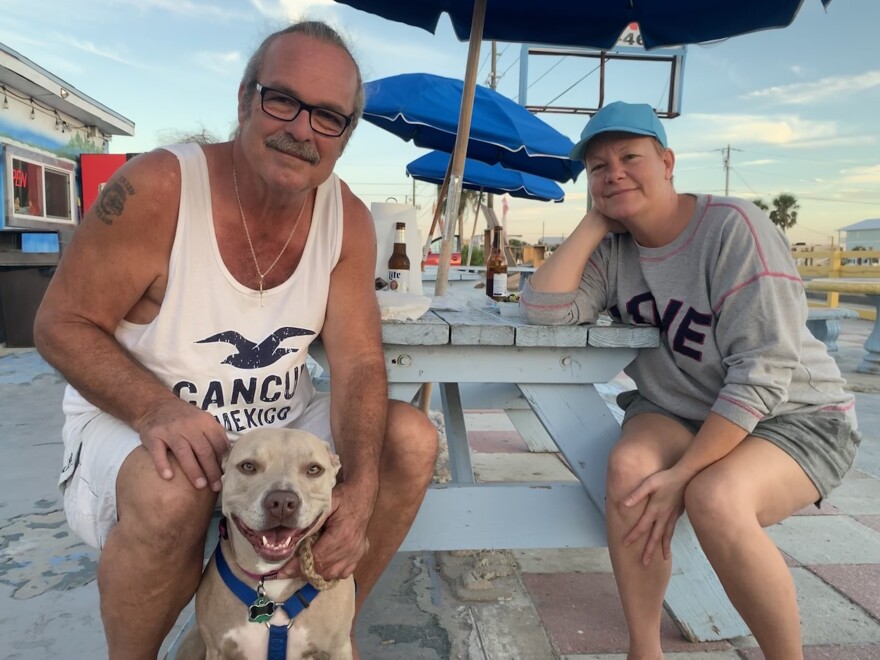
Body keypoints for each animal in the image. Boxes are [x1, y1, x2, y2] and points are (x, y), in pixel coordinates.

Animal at [177, 428, 356, 660]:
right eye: (248, 466)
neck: (270, 578)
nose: (283, 502)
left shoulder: (338, 649)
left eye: (314, 469)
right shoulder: (217, 650)